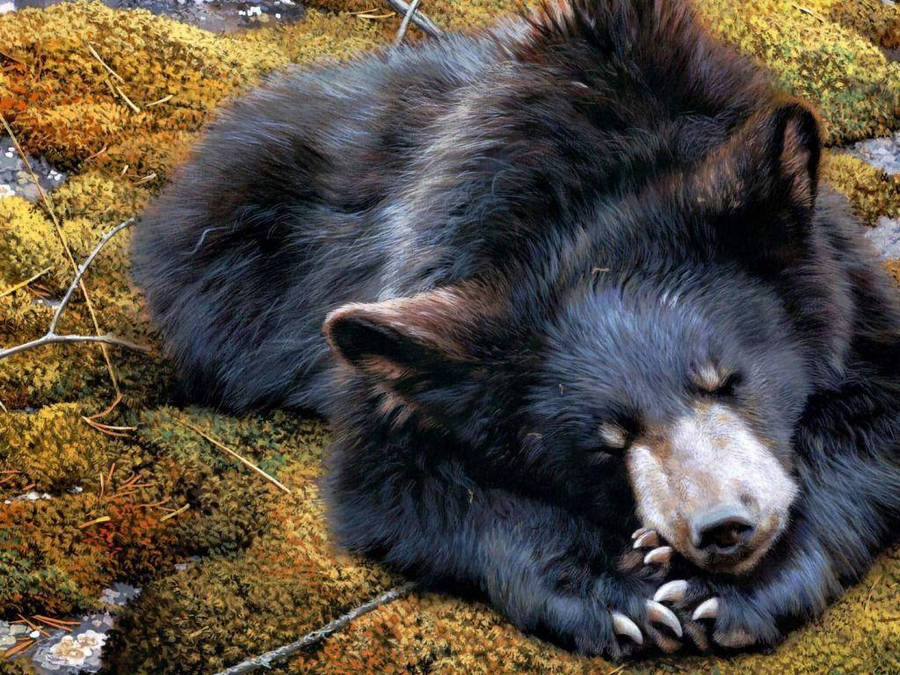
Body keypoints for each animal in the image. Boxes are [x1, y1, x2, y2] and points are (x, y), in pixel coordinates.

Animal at [131, 0, 900, 659]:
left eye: (729, 380)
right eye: (607, 442)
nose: (722, 526)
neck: (582, 203)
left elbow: (872, 431)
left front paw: (733, 591)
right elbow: (393, 482)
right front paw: (614, 589)